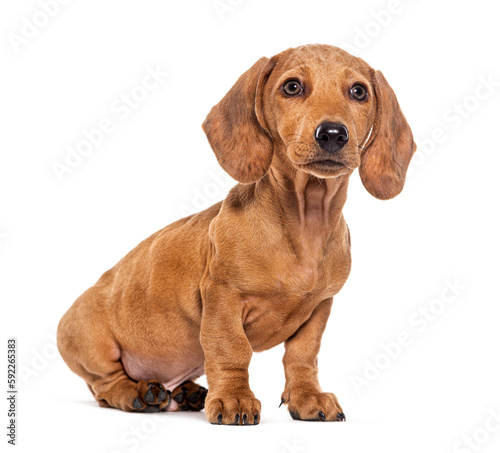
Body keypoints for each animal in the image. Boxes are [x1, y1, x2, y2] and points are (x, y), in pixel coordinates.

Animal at [58, 44, 416, 422]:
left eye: (359, 91)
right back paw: (138, 393)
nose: (332, 134)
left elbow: (302, 356)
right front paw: (234, 398)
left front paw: (307, 398)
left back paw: (186, 392)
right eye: (292, 87)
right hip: (94, 345)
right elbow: (231, 350)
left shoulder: (319, 308)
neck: (306, 221)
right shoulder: (223, 298)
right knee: (104, 386)